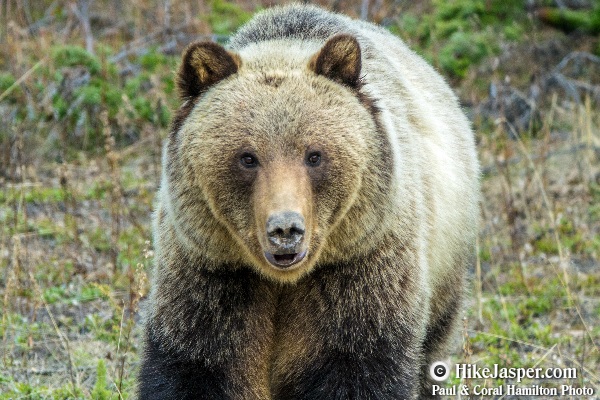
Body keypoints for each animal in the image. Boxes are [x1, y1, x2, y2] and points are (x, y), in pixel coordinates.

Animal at [138, 3, 480, 400]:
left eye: (314, 155)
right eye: (247, 157)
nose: (286, 228)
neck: (284, 282)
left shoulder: (359, 270)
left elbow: (360, 369)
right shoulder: (211, 275)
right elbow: (198, 366)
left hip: (445, 264)